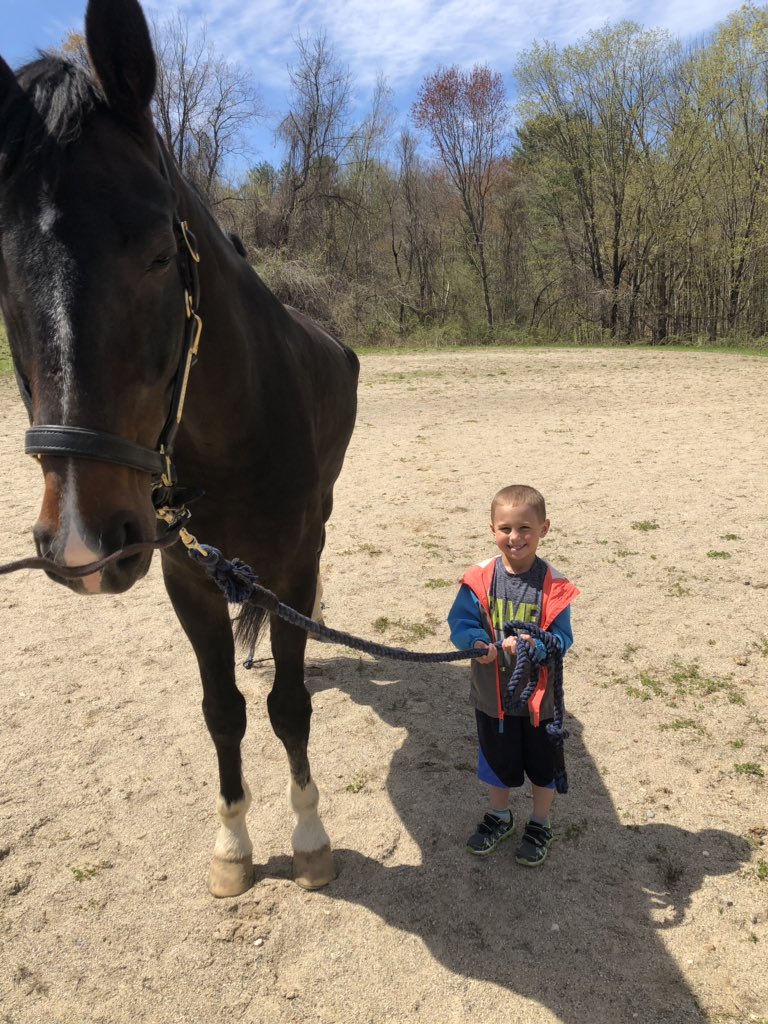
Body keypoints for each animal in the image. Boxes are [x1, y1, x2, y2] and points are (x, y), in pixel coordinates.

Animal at [0, 0, 359, 898]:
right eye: (0, 274)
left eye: (160, 253)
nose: (83, 542)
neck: (231, 430)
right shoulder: (184, 576)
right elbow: (222, 710)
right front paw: (233, 845)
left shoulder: (292, 565)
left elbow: (290, 709)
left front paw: (309, 839)